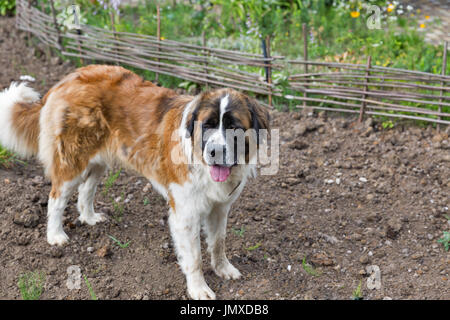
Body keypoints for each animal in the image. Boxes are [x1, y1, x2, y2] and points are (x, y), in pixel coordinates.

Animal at [0, 65, 268, 300]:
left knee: (86, 189)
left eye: (233, 127)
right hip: (72, 162)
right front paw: (198, 289)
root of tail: (68, 78)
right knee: (56, 198)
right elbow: (194, 257)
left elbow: (218, 242)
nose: (214, 151)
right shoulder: (186, 213)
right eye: (208, 125)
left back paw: (89, 217)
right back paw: (55, 235)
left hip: (99, 160)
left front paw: (223, 269)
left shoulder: (220, 208)